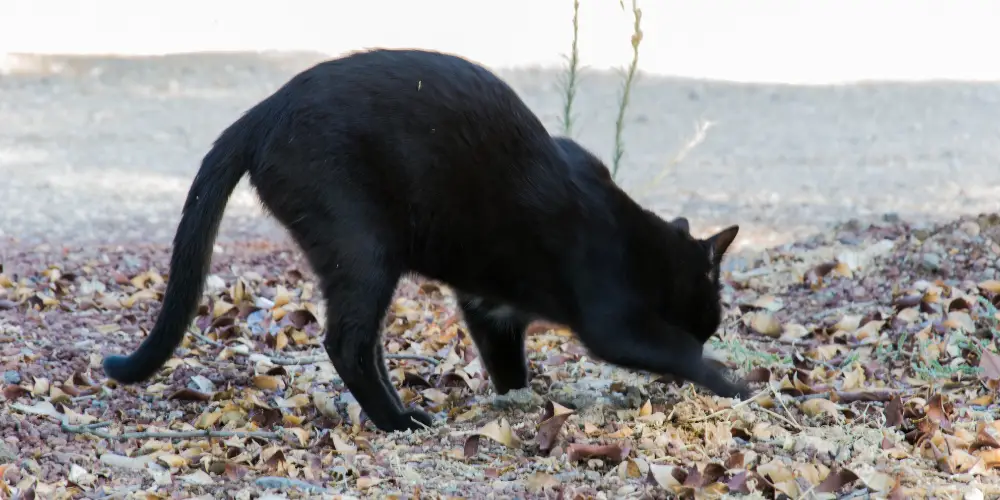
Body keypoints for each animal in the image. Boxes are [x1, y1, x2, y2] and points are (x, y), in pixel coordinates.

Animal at [103, 48, 752, 432]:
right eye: (708, 323)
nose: (710, 332)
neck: (636, 243)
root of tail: (261, 113)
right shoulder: (612, 321)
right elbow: (676, 350)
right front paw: (735, 385)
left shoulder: (490, 308)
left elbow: (508, 364)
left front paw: (517, 401)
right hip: (365, 249)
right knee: (347, 342)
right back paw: (399, 422)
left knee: (363, 345)